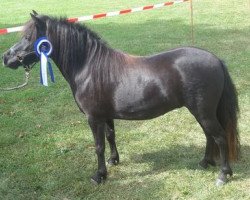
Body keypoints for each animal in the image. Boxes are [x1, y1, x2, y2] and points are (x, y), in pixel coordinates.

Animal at [2, 11, 240, 185]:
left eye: (28, 37)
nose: (6, 58)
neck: (89, 67)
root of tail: (216, 59)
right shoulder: (106, 116)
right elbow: (110, 137)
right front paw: (113, 161)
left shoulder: (93, 118)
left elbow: (98, 146)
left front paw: (99, 175)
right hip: (202, 112)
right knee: (209, 136)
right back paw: (204, 162)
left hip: (203, 111)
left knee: (219, 137)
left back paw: (223, 174)